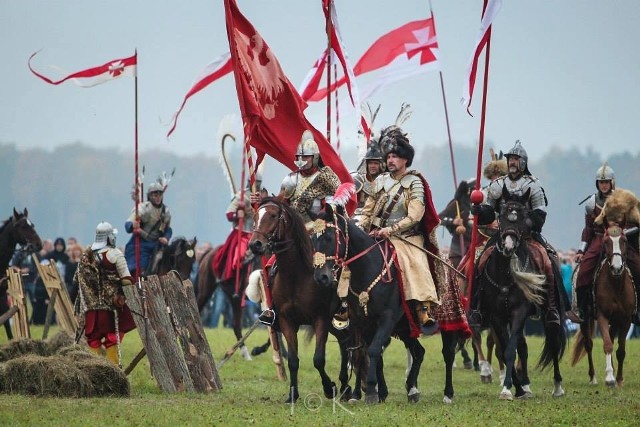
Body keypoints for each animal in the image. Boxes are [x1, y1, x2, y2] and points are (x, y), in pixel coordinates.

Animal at [248, 197, 340, 404]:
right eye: (256, 216)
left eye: (273, 215)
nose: (255, 244)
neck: (295, 275)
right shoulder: (286, 321)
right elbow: (292, 360)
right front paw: (292, 394)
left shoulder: (320, 319)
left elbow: (318, 359)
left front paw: (329, 388)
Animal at [478, 187, 568, 402]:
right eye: (502, 216)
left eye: (523, 216)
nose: (509, 246)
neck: (504, 276)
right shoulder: (497, 316)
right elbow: (505, 349)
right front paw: (516, 388)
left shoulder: (519, 312)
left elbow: (510, 350)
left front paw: (508, 388)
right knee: (523, 347)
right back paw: (525, 386)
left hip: (550, 313)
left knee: (553, 343)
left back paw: (557, 387)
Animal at [568, 224, 636, 388]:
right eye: (606, 242)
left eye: (624, 240)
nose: (617, 268)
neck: (616, 285)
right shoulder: (602, 316)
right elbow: (607, 345)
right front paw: (610, 377)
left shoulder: (625, 320)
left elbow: (620, 349)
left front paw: (619, 379)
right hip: (585, 319)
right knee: (589, 344)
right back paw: (593, 377)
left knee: (610, 337)